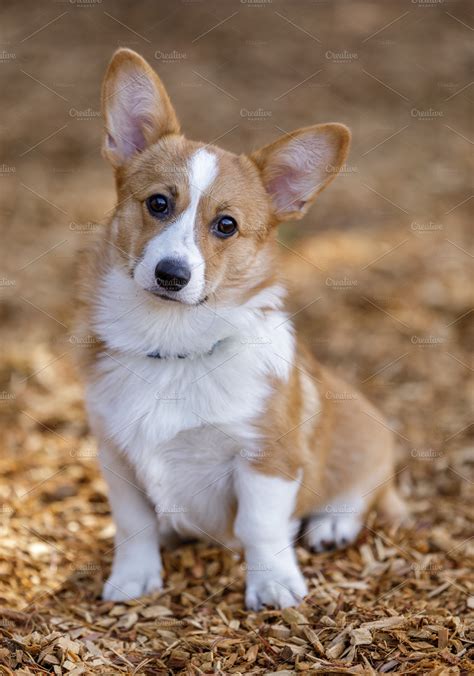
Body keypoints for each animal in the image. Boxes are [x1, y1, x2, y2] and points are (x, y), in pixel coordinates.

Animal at [76, 47, 406, 608]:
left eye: (225, 225)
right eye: (158, 203)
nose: (171, 275)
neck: (173, 346)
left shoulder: (265, 457)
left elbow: (261, 527)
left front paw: (273, 585)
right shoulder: (116, 455)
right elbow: (133, 524)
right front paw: (133, 579)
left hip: (365, 442)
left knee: (361, 494)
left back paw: (331, 527)